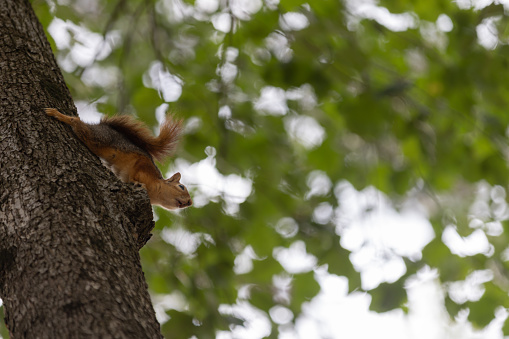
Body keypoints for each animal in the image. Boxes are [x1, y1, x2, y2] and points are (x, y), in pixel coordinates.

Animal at [45, 108, 192, 210]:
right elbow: (135, 172)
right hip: (99, 137)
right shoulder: (143, 164)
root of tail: (102, 126)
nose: (190, 203)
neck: (155, 191)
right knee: (77, 122)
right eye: (181, 187)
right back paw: (58, 114)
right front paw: (136, 182)